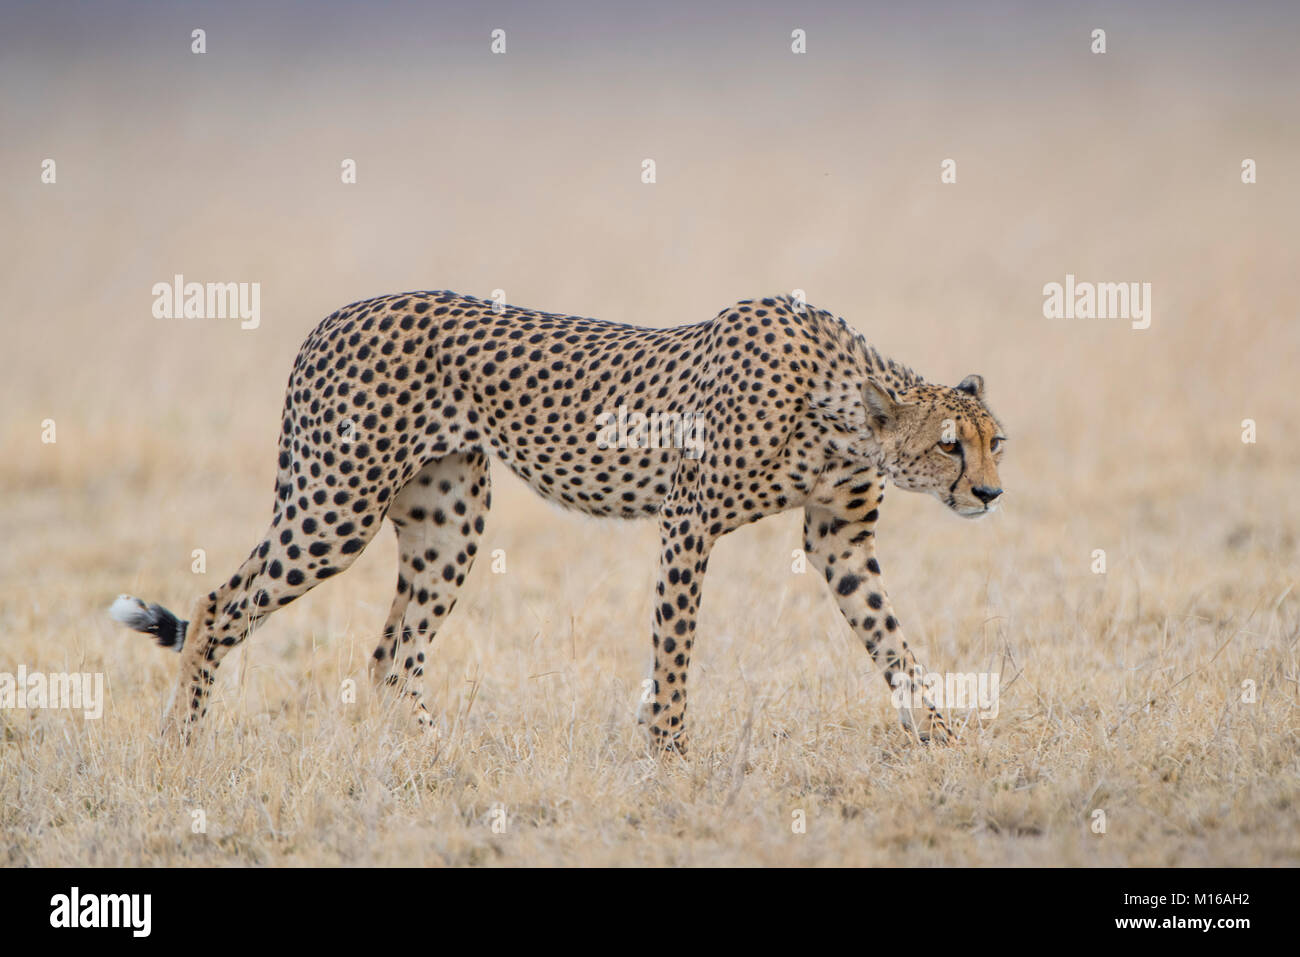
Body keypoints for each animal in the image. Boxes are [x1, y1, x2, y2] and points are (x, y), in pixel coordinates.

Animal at [111, 287, 1003, 748]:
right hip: (337, 504)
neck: (839, 405)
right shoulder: (688, 522)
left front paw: (941, 735)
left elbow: (893, 640)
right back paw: (181, 742)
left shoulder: (838, 539)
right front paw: (669, 753)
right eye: (949, 446)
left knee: (393, 651)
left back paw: (438, 755)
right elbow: (674, 650)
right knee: (220, 603)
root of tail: (335, 317)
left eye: (997, 441)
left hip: (448, 518)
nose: (991, 495)